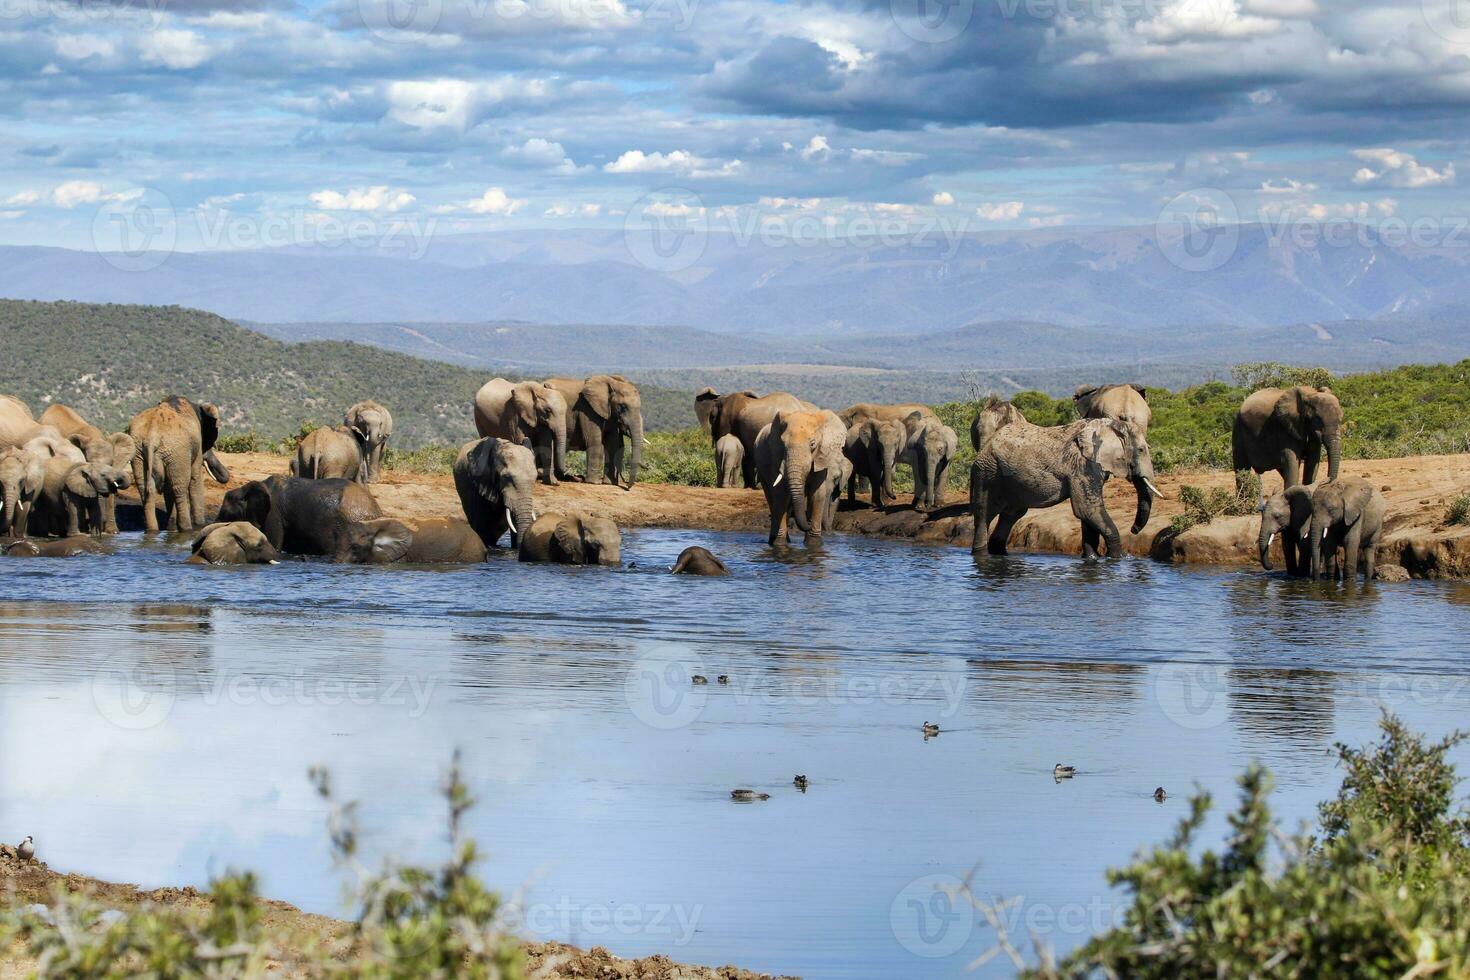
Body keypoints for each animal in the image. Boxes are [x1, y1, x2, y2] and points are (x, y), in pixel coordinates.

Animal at [130, 393, 229, 531]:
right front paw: (200, 526)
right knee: (179, 489)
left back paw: (153, 530)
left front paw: (171, 527)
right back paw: (186, 529)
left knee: (146, 489)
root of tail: (151, 437)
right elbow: (195, 479)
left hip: (140, 453)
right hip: (177, 449)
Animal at [758, 405, 852, 543]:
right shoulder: (776, 456)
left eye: (812, 444)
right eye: (783, 444)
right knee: (772, 497)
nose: (808, 522)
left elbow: (818, 493)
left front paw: (813, 541)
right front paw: (779, 543)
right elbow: (781, 494)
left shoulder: (821, 457)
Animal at [970, 393, 1164, 555]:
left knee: (1011, 514)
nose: (1133, 530)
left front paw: (1091, 558)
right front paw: (1118, 558)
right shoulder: (1083, 466)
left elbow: (1088, 516)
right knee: (984, 514)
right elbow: (1088, 510)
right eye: (1141, 450)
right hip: (987, 473)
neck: (1108, 425)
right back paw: (981, 554)